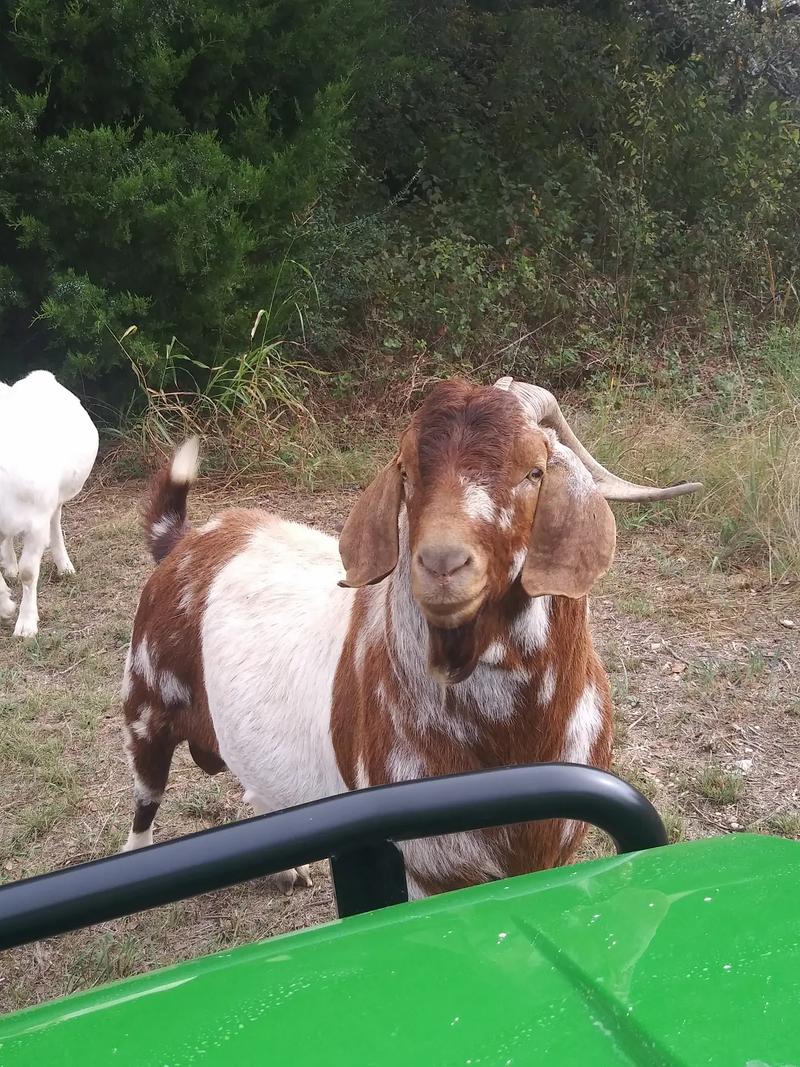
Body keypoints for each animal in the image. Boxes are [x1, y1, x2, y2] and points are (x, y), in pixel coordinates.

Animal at [0, 370, 99, 637]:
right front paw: (5, 605)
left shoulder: (37, 520)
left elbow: (28, 572)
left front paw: (26, 624)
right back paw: (9, 566)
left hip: (56, 497)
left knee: (55, 521)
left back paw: (64, 566)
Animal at [121, 377, 700, 896]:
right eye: (407, 471)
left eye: (534, 471)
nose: (443, 564)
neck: (514, 733)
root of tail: (184, 542)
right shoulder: (427, 867)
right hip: (145, 705)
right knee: (144, 804)